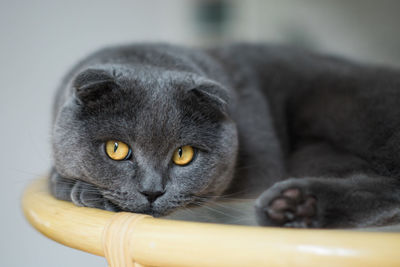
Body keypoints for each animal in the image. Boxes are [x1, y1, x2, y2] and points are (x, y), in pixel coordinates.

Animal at [49, 43, 400, 228]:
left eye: (183, 155)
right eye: (116, 149)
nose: (152, 192)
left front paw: (82, 191)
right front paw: (70, 184)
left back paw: (293, 204)